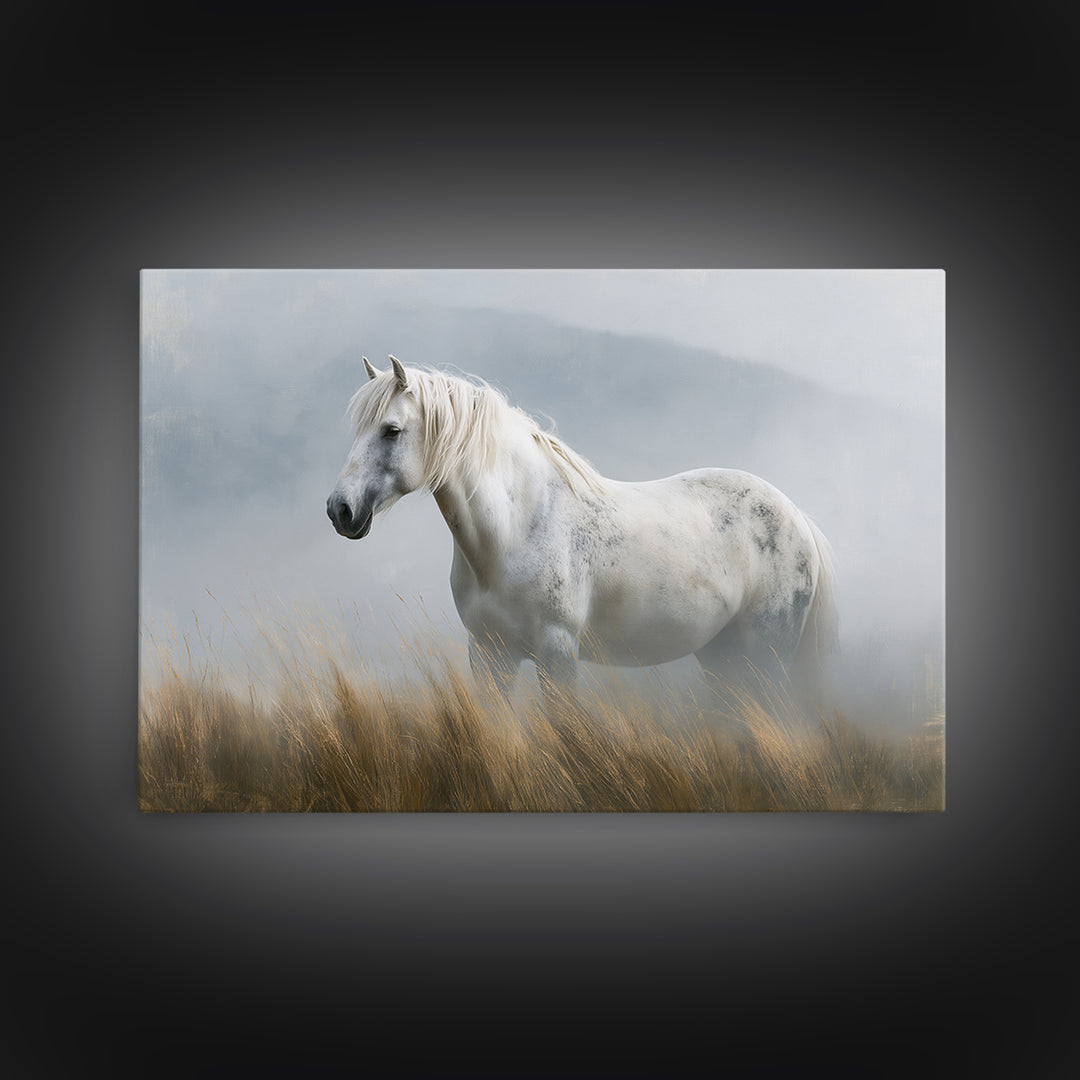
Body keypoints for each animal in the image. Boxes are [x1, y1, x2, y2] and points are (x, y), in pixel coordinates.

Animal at [327, 355, 839, 712]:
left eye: (392, 430)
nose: (340, 510)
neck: (517, 529)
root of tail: (797, 516)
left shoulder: (557, 655)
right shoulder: (489, 655)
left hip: (765, 660)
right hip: (721, 658)